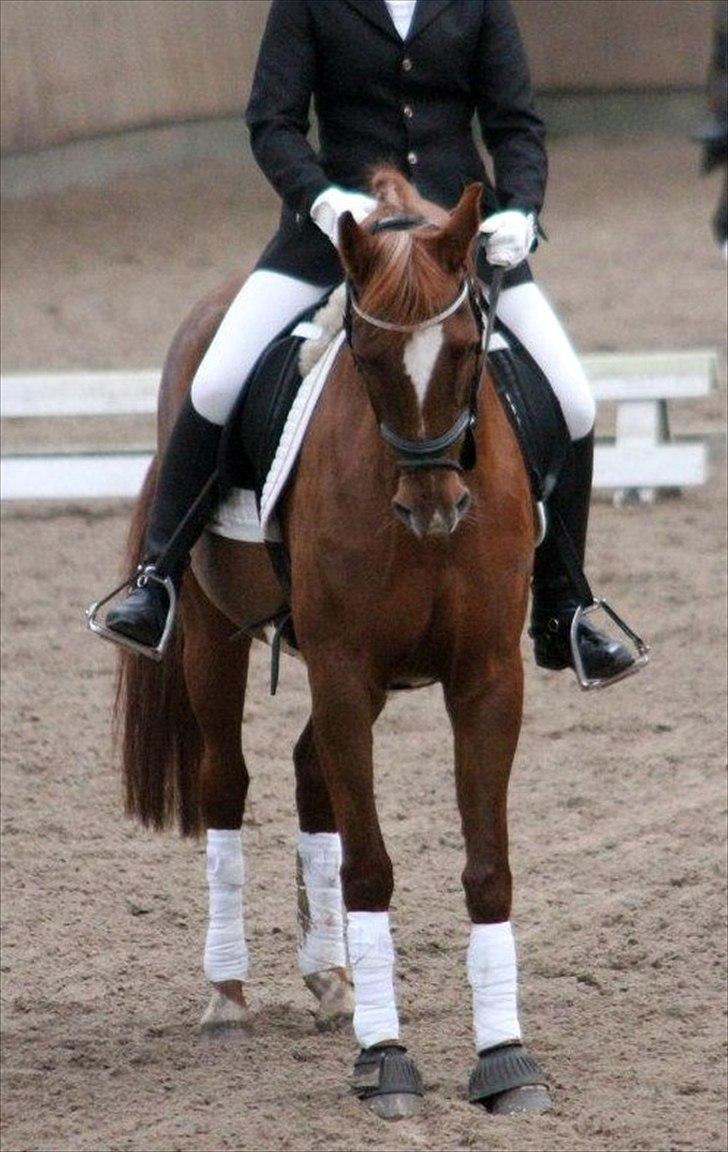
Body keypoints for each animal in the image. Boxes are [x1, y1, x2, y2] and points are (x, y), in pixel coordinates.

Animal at [114, 170, 548, 1115]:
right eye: (372, 358)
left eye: (468, 347)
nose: (433, 509)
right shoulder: (347, 671)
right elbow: (371, 870)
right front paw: (386, 1060)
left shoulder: (485, 677)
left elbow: (487, 867)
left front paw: (506, 1059)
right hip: (215, 635)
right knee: (227, 784)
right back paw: (228, 996)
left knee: (312, 777)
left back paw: (331, 982)